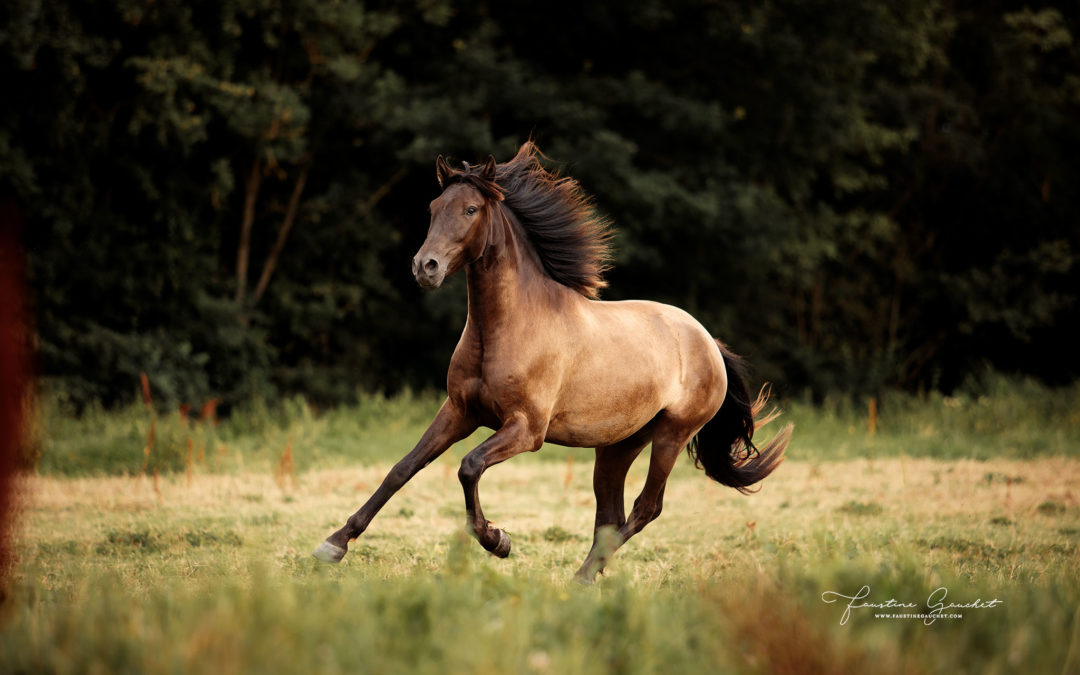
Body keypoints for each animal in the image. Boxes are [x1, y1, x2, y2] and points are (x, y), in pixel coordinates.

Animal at [315, 140, 794, 578]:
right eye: (434, 207)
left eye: (471, 209)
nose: (424, 267)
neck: (506, 329)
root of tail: (708, 342)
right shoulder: (458, 412)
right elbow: (403, 469)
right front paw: (334, 543)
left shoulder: (527, 429)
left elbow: (469, 467)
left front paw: (497, 540)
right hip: (619, 444)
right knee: (611, 515)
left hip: (671, 435)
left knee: (645, 509)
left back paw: (579, 578)